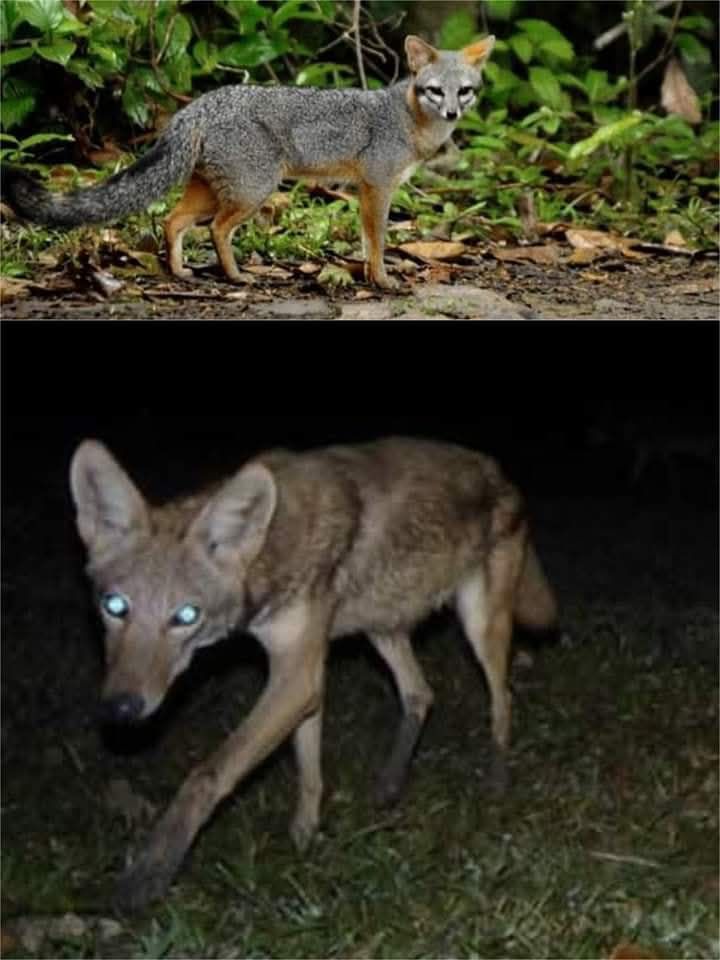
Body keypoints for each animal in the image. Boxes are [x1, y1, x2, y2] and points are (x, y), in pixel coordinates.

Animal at [4, 34, 494, 290]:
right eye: (435, 91)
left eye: (465, 91)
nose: (453, 113)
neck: (408, 119)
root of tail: (201, 104)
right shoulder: (377, 186)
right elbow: (376, 241)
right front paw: (383, 280)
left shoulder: (365, 190)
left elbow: (366, 240)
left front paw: (371, 277)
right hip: (254, 192)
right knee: (217, 229)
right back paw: (237, 276)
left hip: (214, 190)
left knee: (173, 222)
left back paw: (180, 271)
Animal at [69, 435, 557, 911]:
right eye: (114, 606)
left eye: (186, 616)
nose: (121, 707)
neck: (271, 546)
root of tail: (496, 469)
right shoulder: (305, 673)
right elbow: (308, 772)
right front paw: (305, 839)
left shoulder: (297, 677)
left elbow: (206, 774)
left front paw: (148, 874)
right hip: (381, 628)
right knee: (421, 693)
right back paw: (390, 784)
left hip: (479, 626)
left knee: (502, 699)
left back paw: (496, 779)